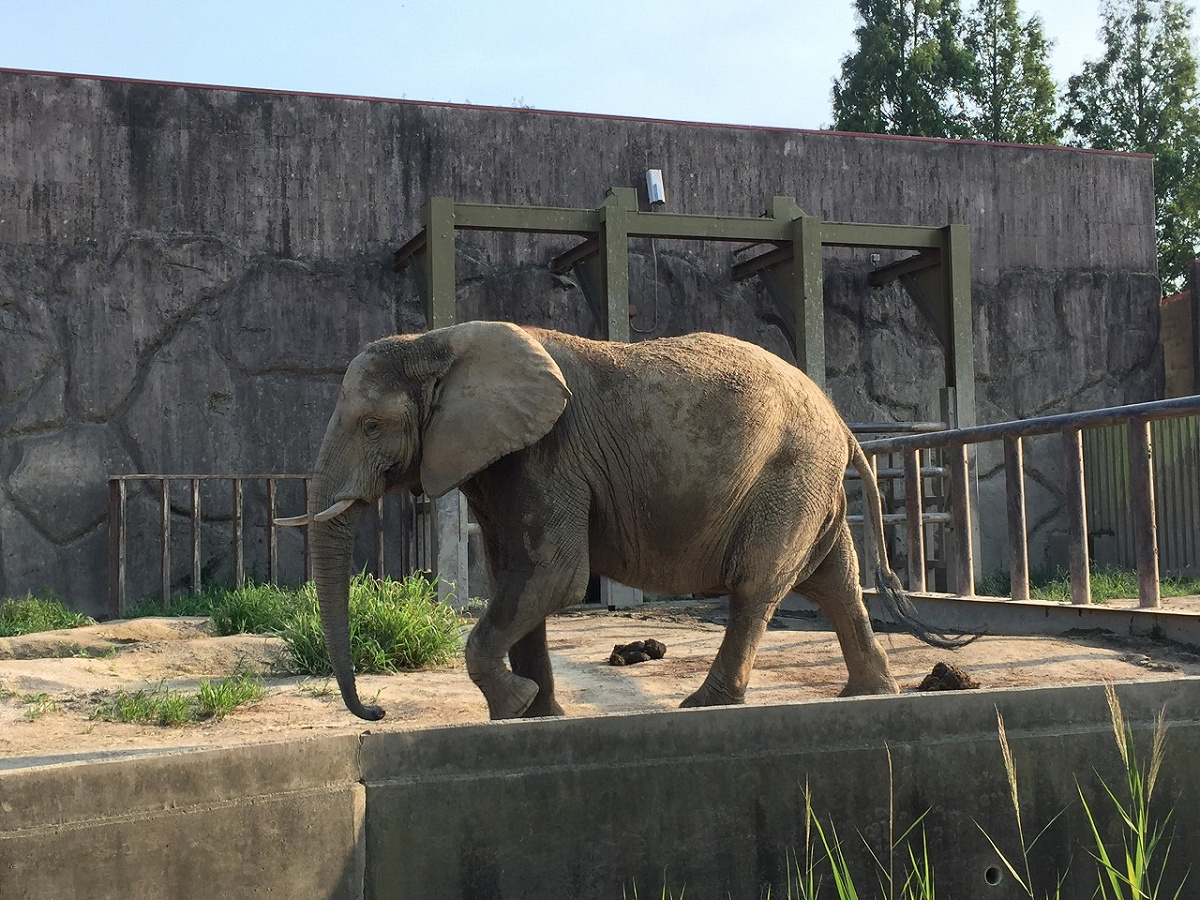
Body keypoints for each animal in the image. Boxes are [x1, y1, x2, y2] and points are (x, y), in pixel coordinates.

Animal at [276, 321, 969, 724]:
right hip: (809, 483)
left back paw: (704, 705)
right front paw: (533, 717)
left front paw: (517, 706)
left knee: (757, 586)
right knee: (836, 582)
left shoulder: (549, 453)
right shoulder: (502, 462)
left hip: (788, 476)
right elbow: (516, 574)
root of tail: (844, 424)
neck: (441, 340)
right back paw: (869, 696)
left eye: (372, 426)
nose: (376, 713)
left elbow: (554, 575)